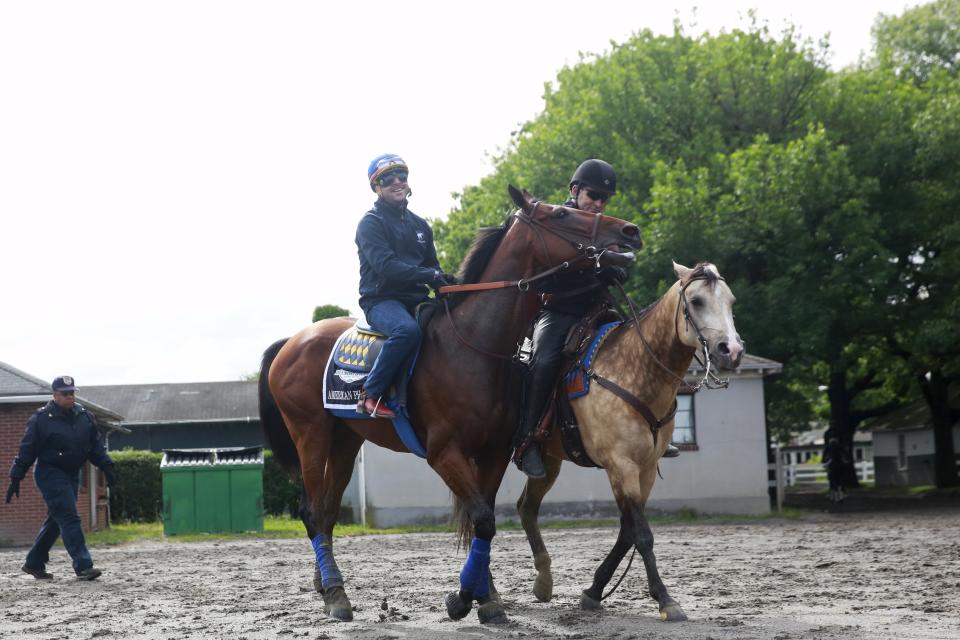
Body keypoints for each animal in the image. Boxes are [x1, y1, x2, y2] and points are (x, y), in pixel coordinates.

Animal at [258, 185, 640, 624]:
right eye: (561, 213)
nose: (629, 231)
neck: (474, 345)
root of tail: (290, 341)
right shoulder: (444, 454)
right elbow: (482, 519)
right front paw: (463, 598)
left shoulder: (493, 453)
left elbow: (482, 520)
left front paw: (484, 597)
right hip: (311, 434)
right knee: (311, 511)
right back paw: (336, 593)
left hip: (345, 440)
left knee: (327, 510)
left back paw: (326, 585)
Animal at [516, 260, 744, 620]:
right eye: (696, 301)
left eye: (731, 301)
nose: (732, 351)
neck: (636, 371)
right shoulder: (620, 465)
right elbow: (642, 533)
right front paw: (666, 599)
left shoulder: (645, 468)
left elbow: (628, 531)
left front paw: (594, 591)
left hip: (548, 463)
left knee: (526, 508)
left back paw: (543, 582)